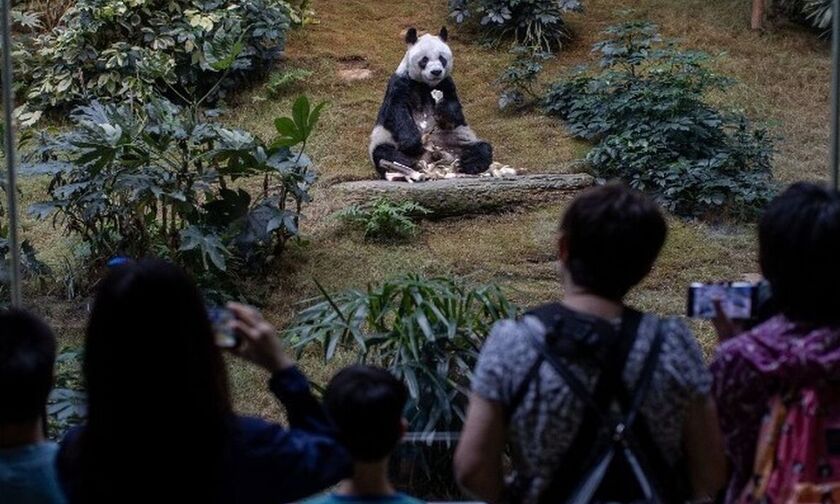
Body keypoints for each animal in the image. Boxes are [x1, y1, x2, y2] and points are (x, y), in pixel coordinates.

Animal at [368, 27, 492, 179]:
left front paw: (443, 112)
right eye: (424, 60)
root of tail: (430, 158)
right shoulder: (400, 82)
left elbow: (455, 110)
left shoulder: (446, 83)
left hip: (459, 140)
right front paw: (413, 144)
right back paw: (408, 163)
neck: (425, 84)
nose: (436, 72)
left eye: (442, 58)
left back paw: (467, 165)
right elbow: (396, 111)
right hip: (386, 139)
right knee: (383, 152)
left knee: (481, 148)